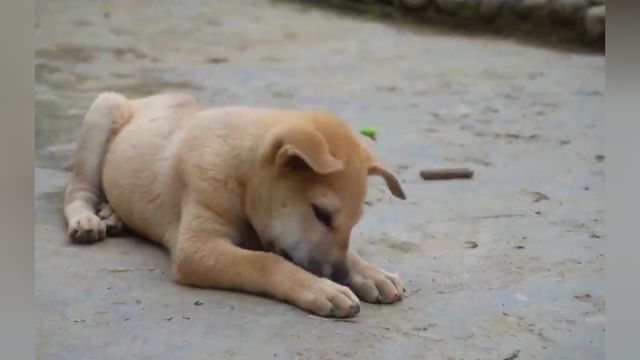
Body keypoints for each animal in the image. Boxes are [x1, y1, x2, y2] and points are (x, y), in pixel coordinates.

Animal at [63, 93, 404, 318]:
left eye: (354, 221)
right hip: (104, 110)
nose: (340, 276)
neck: (241, 174)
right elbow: (266, 262)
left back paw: (114, 215)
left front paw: (372, 273)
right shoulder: (196, 248)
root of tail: (146, 99)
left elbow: (345, 252)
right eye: (321, 213)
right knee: (77, 191)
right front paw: (322, 288)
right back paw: (87, 220)